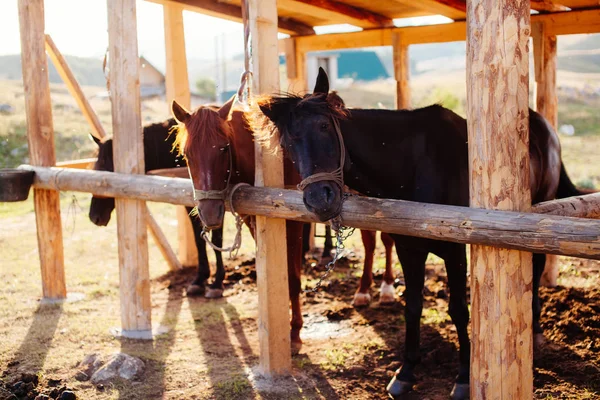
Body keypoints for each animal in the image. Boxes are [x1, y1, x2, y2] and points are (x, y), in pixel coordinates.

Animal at [88, 120, 227, 298]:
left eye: (105, 170)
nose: (94, 217)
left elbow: (216, 240)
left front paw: (217, 283)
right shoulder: (193, 207)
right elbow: (199, 239)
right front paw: (199, 279)